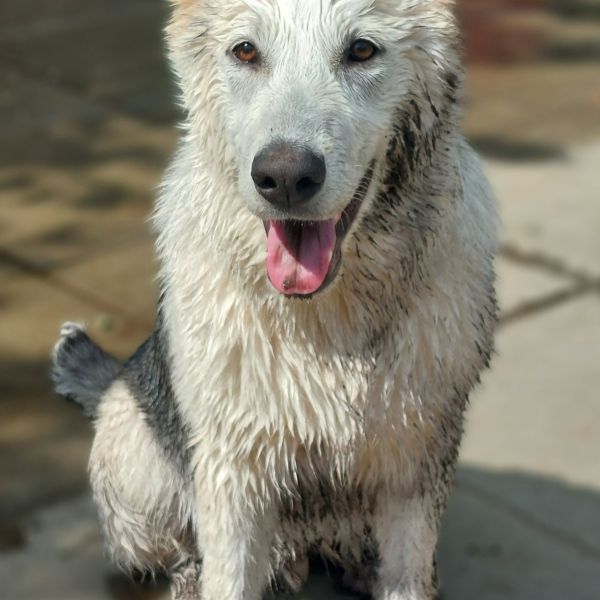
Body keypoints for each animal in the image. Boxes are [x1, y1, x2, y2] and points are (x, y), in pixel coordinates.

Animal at [55, 2, 496, 596]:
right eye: (246, 51)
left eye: (361, 50)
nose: (285, 178)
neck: (326, 326)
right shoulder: (232, 476)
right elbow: (228, 576)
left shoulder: (414, 465)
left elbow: (406, 572)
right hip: (134, 458)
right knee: (174, 548)